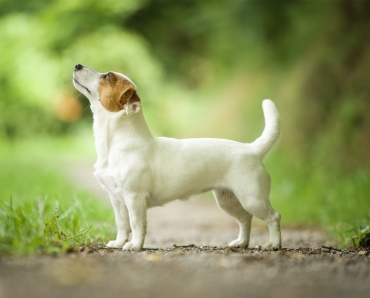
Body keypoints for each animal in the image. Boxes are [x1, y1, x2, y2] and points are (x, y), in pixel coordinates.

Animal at [72, 63, 282, 251]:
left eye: (107, 76)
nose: (77, 65)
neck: (114, 143)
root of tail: (252, 149)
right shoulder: (116, 199)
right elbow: (122, 224)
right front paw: (118, 243)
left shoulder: (134, 197)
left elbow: (137, 225)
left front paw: (135, 246)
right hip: (228, 200)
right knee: (245, 219)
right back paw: (241, 243)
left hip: (252, 198)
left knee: (273, 217)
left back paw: (274, 244)